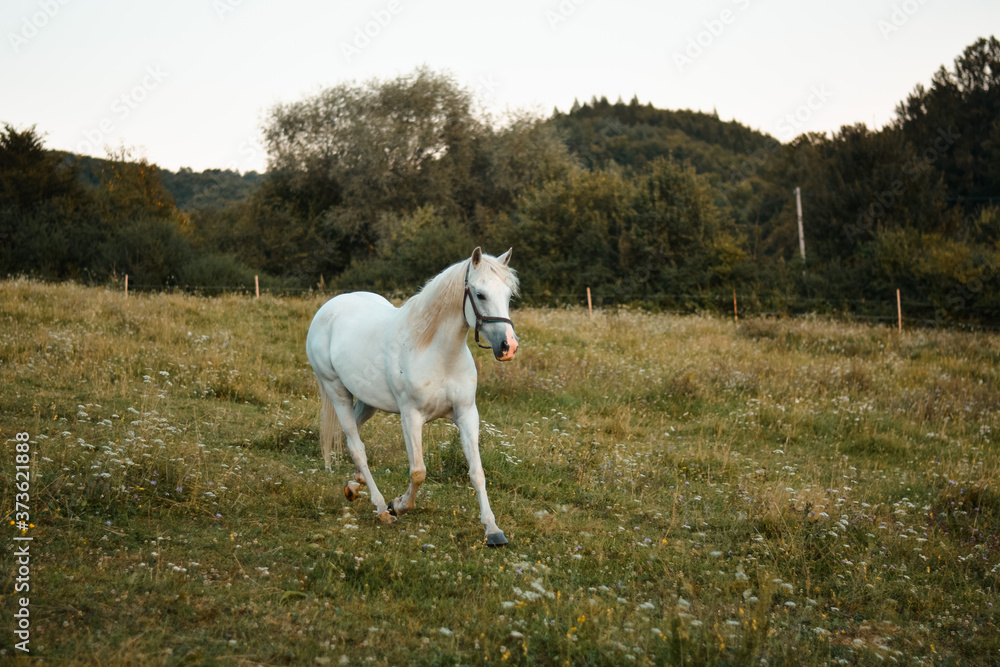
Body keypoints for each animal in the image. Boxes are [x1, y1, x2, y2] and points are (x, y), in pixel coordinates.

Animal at [305, 247, 519, 546]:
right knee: (356, 447)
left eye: (508, 295)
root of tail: (328, 308)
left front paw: (493, 530)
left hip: (368, 401)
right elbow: (418, 472)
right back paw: (382, 509)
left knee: (354, 434)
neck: (436, 352)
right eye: (480, 295)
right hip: (337, 392)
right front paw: (399, 504)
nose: (508, 347)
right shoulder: (411, 417)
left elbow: (477, 472)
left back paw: (354, 486)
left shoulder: (467, 414)